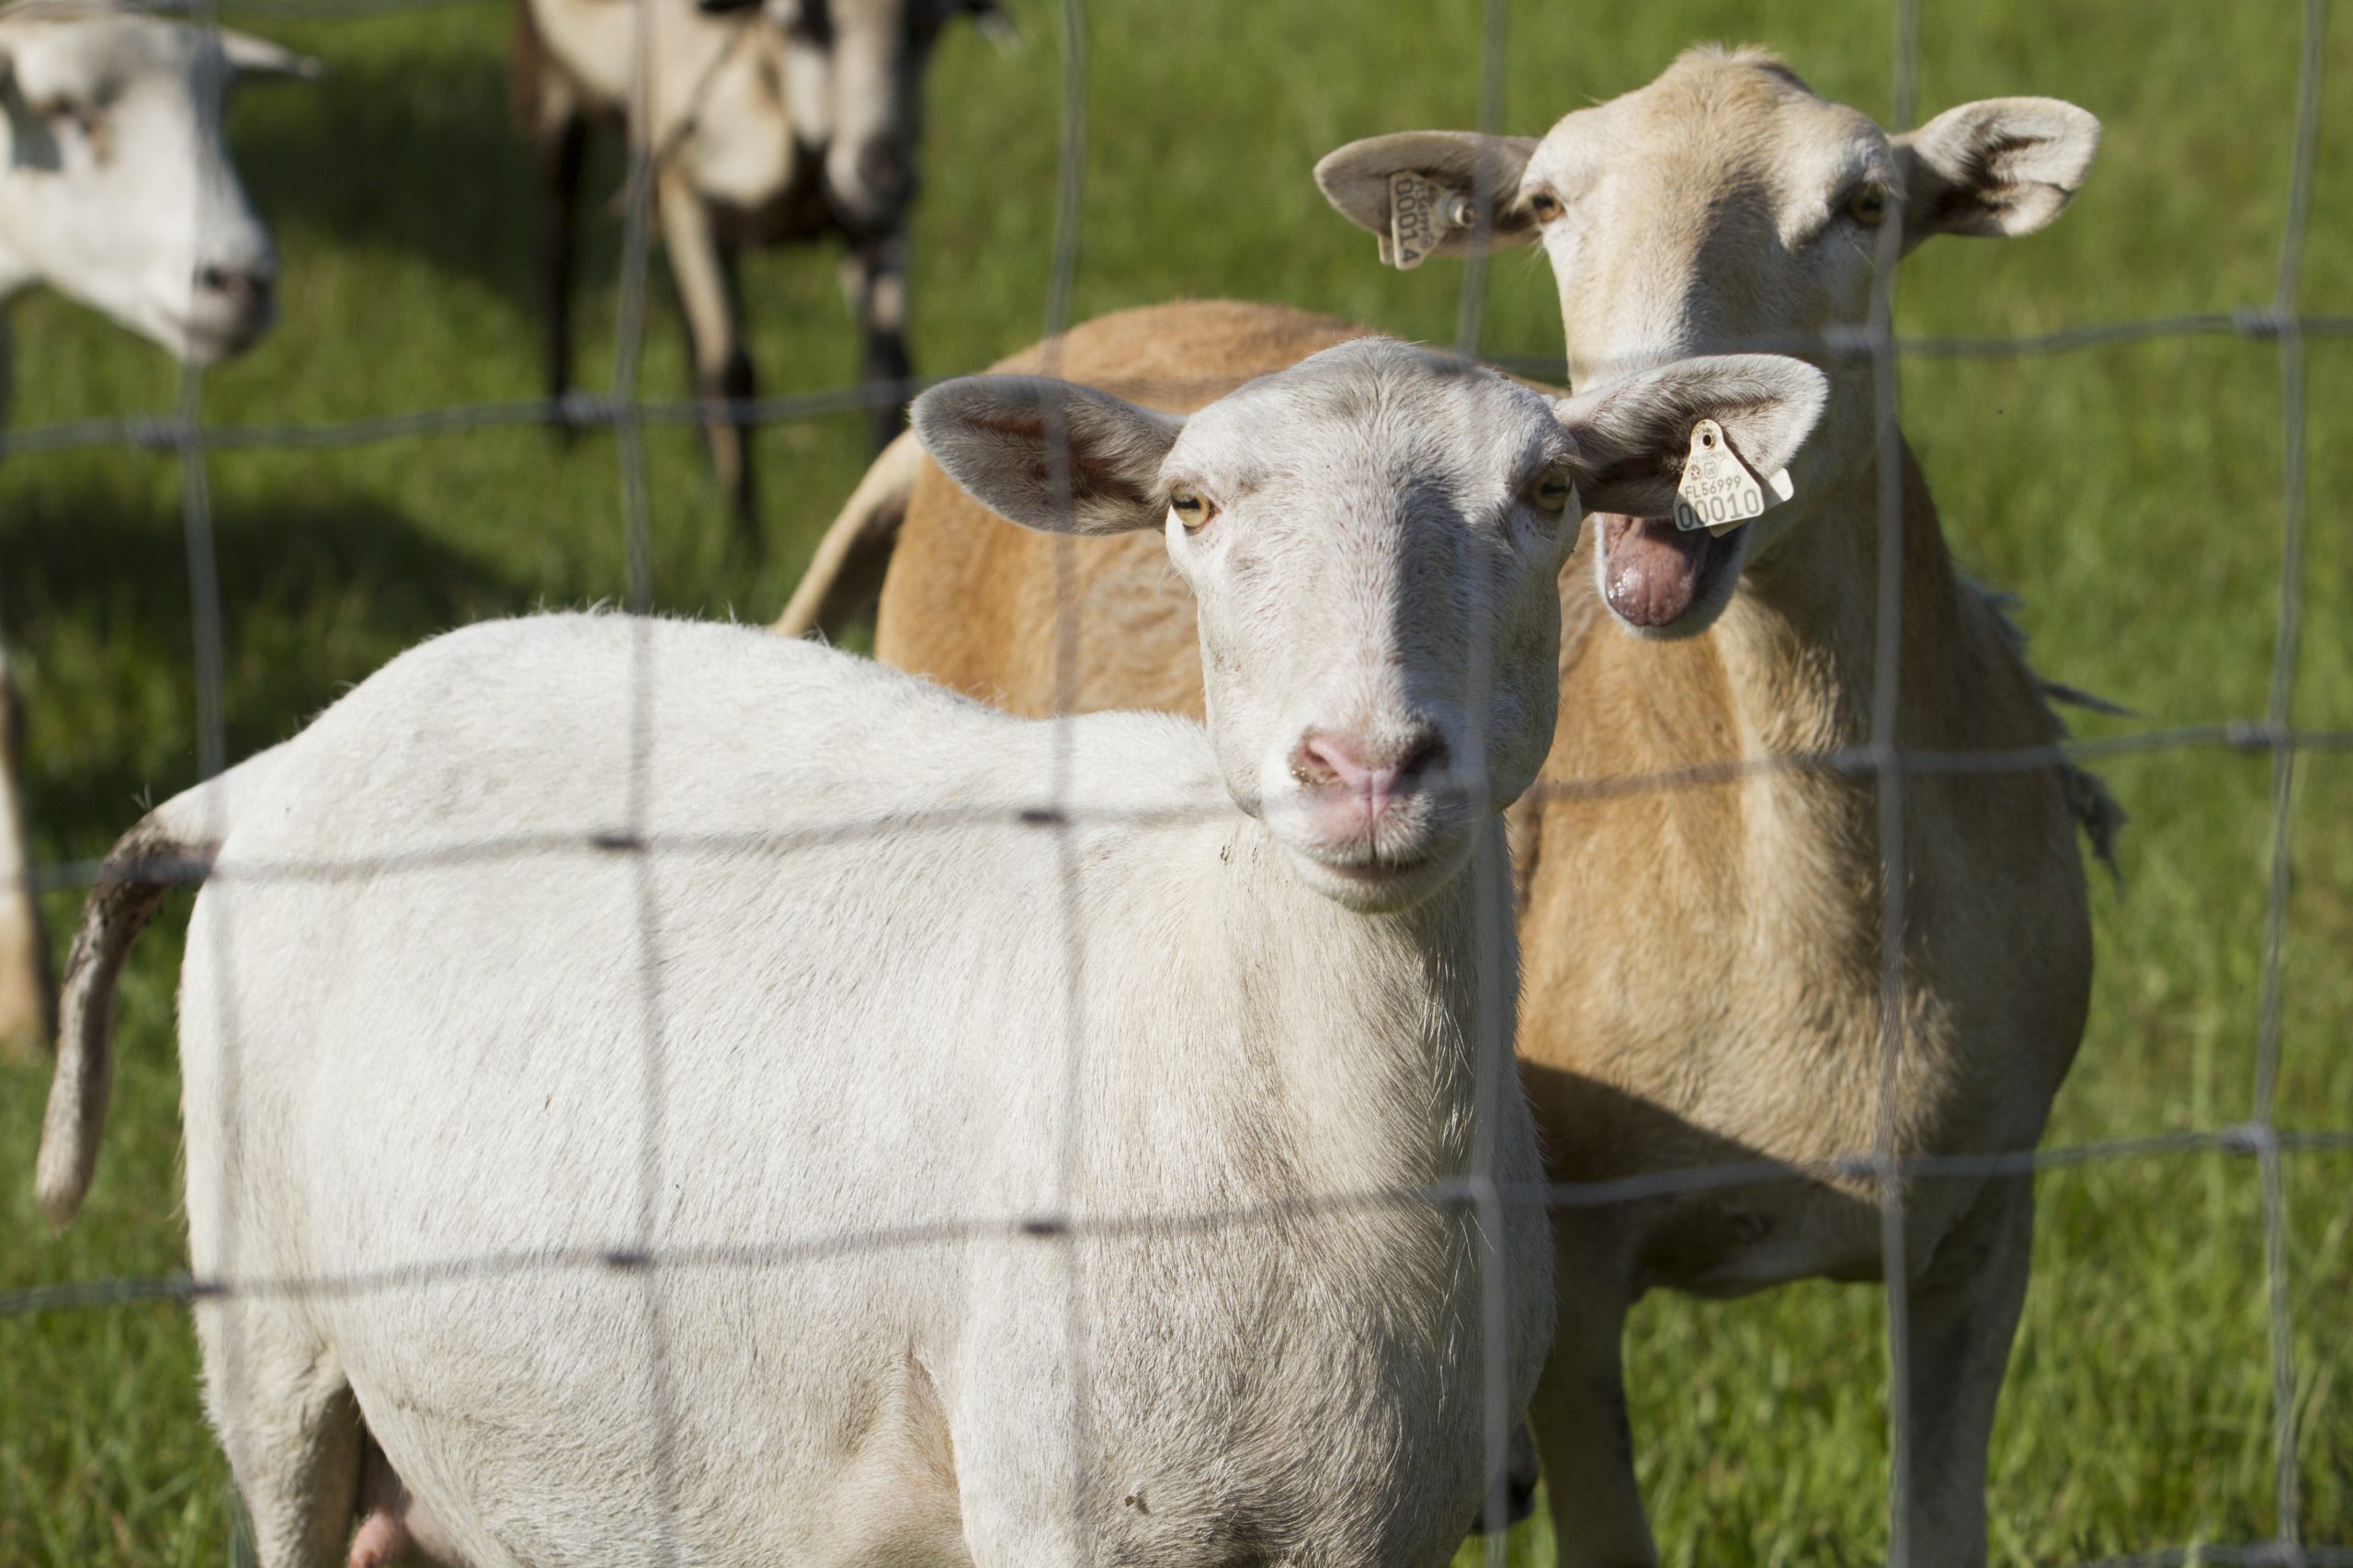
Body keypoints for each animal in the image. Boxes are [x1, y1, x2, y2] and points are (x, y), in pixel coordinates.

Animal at [37, 338, 1829, 1567]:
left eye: (1547, 496)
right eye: (1190, 507)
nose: (1369, 765)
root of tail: (265, 772)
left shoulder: (1385, 1518)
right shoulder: (1071, 1500)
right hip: (272, 1346)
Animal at [512, 0, 1003, 540]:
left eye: (927, 25)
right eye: (806, 23)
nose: (880, 173)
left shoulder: (875, 229)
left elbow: (886, 368)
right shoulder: (690, 203)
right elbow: (733, 375)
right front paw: (743, 544)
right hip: (553, 86)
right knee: (556, 249)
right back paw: (562, 429)